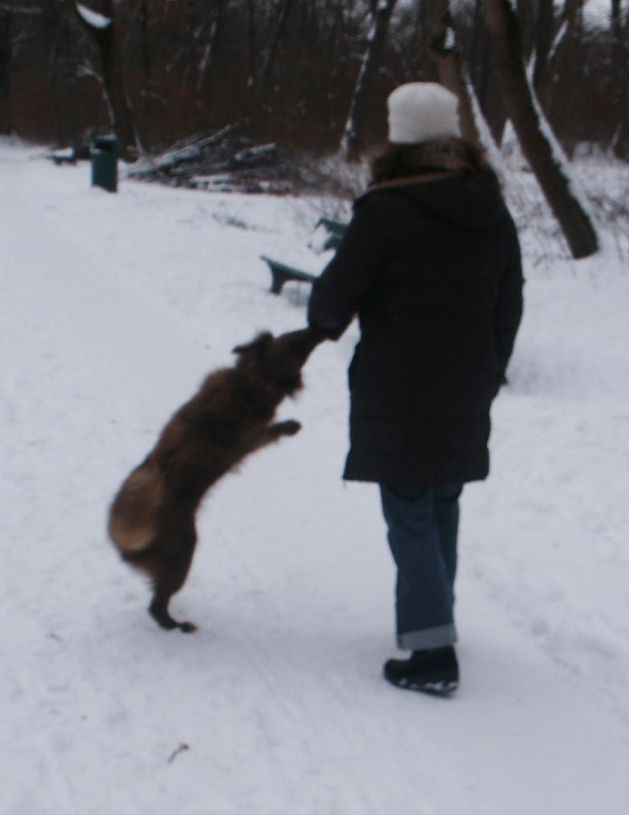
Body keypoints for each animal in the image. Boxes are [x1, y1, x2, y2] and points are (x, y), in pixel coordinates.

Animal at [107, 327, 321, 632]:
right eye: (296, 343)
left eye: (292, 336)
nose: (316, 330)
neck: (247, 381)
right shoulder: (251, 438)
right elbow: (270, 432)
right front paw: (291, 426)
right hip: (182, 557)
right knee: (157, 606)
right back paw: (178, 626)